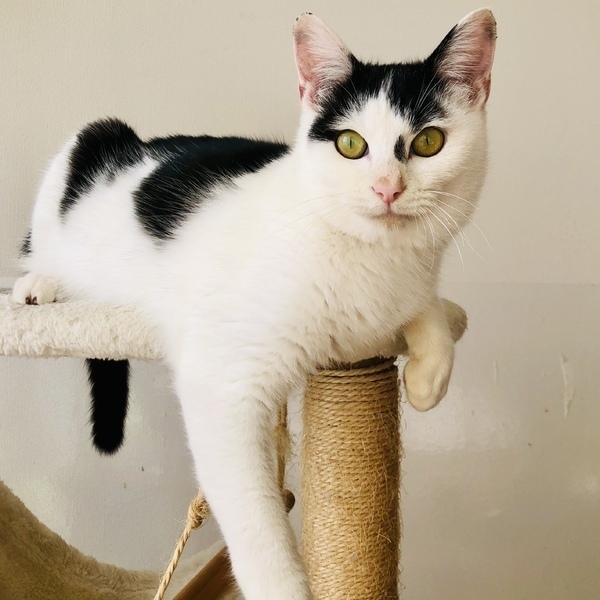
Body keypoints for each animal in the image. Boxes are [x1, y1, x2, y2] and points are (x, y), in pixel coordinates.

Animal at [12, 9, 496, 599]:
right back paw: (40, 283)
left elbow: (431, 311)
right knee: (39, 244)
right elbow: (254, 520)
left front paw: (427, 379)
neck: (373, 263)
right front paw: (282, 585)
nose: (387, 189)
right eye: (351, 144)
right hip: (87, 142)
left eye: (428, 142)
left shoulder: (407, 292)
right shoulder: (222, 380)